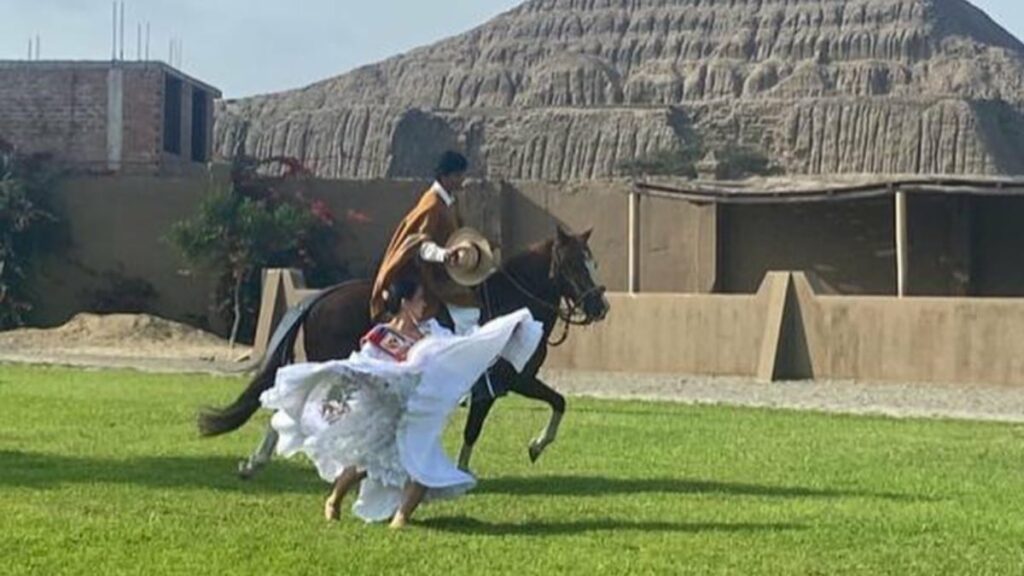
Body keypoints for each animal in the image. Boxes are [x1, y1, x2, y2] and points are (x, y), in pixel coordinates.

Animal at [197, 224, 606, 475]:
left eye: (593, 261)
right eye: (574, 263)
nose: (600, 307)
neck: (514, 304)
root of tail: (320, 298)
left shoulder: (511, 385)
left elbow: (557, 403)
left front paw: (534, 447)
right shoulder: (500, 386)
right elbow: (481, 430)